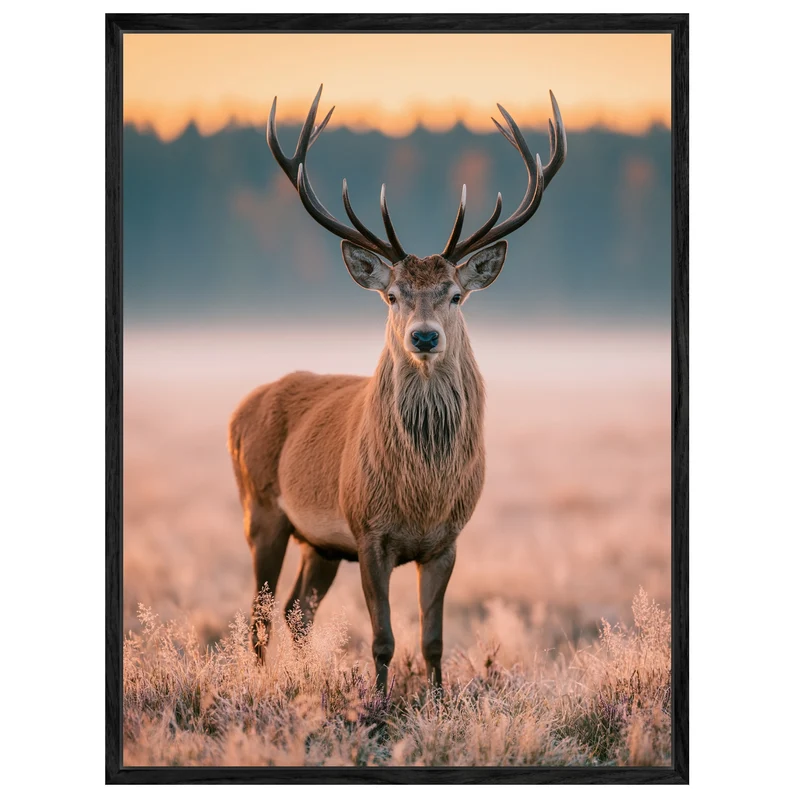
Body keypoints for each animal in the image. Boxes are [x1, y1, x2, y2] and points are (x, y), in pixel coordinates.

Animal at [228, 85, 566, 692]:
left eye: (455, 294)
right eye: (392, 295)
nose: (424, 335)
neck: (421, 495)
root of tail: (239, 411)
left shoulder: (447, 541)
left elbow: (433, 640)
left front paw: (436, 699)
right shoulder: (368, 532)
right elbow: (383, 639)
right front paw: (380, 703)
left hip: (320, 544)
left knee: (295, 611)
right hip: (260, 508)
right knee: (261, 614)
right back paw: (260, 683)